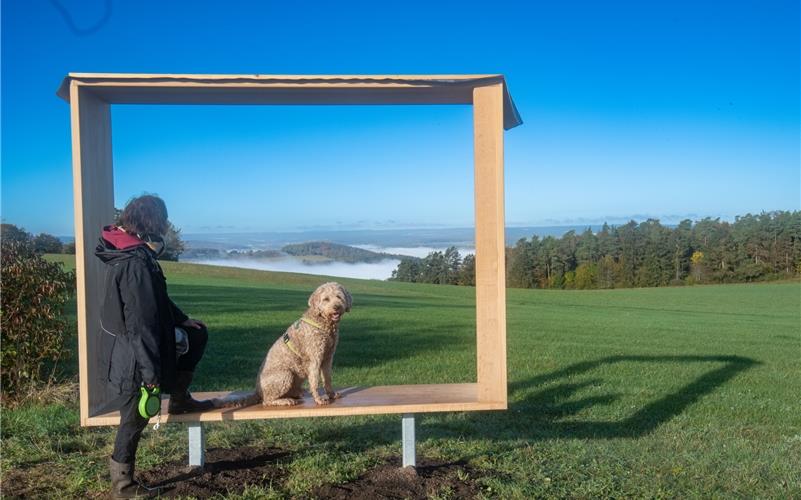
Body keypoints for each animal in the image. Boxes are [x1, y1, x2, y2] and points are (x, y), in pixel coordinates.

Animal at [214, 282, 352, 406]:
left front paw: (331, 394)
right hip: (285, 375)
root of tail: (257, 392)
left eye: (339, 297)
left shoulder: (328, 357)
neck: (323, 323)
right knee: (267, 401)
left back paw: (296, 394)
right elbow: (314, 380)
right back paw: (286, 400)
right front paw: (319, 399)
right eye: (326, 299)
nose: (336, 307)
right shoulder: (315, 358)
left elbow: (328, 378)